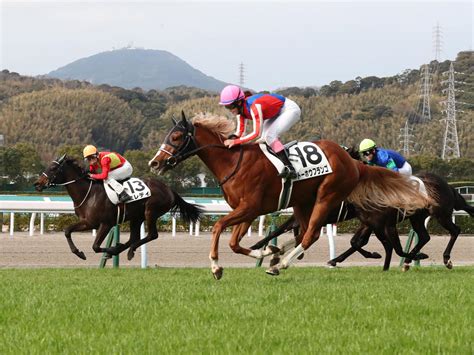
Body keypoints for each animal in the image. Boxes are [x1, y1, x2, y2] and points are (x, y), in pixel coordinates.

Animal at [33, 156, 202, 262]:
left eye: (53, 167)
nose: (37, 183)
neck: (89, 194)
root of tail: (169, 189)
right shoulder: (88, 222)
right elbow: (67, 231)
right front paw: (79, 253)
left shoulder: (105, 224)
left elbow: (95, 246)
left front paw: (108, 250)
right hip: (136, 217)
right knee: (133, 237)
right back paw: (125, 250)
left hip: (150, 212)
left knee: (152, 235)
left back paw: (124, 250)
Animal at [148, 112, 434, 280]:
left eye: (176, 136)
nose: (155, 162)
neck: (234, 162)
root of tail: (353, 163)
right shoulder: (248, 210)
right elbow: (235, 243)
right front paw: (264, 252)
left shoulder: (249, 208)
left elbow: (219, 226)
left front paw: (217, 266)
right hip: (301, 203)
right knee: (306, 232)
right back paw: (279, 257)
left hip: (327, 197)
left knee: (311, 235)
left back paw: (281, 264)